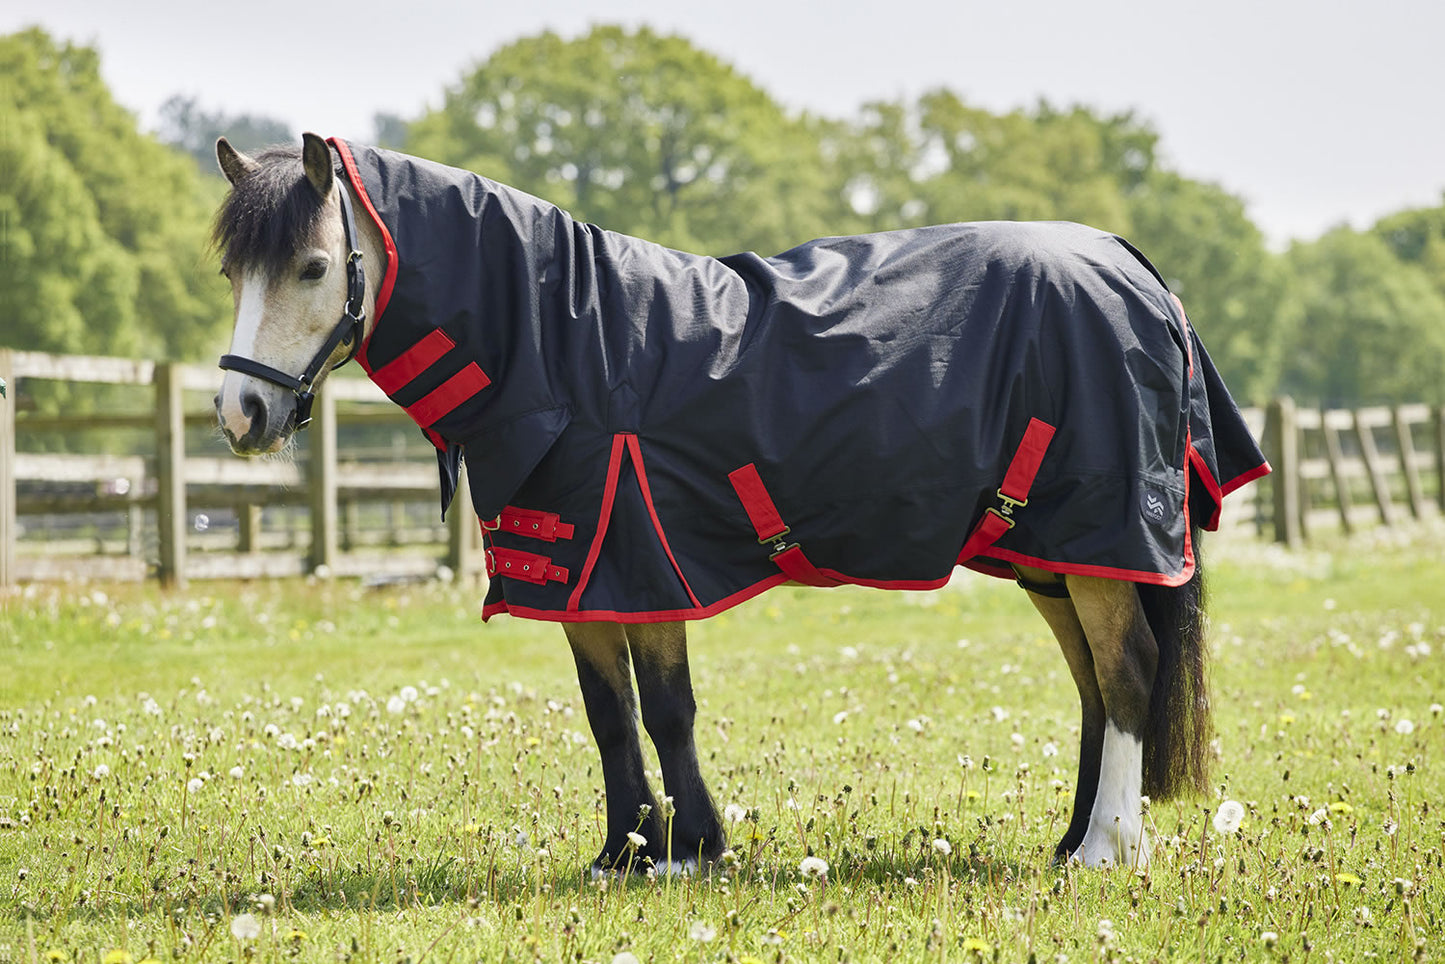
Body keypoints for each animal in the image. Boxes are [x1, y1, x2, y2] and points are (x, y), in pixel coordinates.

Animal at [211, 132, 1269, 873]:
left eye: (313, 266)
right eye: (232, 271)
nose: (239, 413)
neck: (568, 343)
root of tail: (1130, 266)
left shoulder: (642, 558)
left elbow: (667, 708)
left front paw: (690, 851)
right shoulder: (578, 577)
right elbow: (610, 713)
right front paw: (623, 852)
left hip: (1101, 539)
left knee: (1127, 672)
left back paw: (1107, 848)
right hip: (1053, 552)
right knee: (1093, 684)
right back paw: (1072, 837)